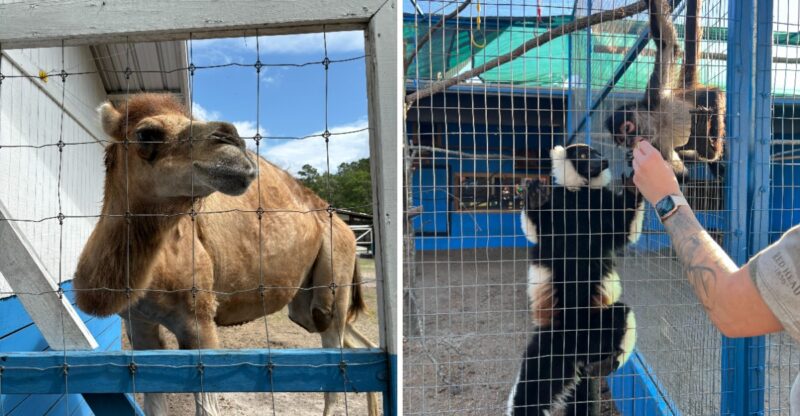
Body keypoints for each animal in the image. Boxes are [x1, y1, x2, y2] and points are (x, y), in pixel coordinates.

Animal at [73, 93, 379, 416]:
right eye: (147, 134)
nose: (232, 142)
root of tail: (347, 229)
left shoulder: (199, 318)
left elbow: (207, 408)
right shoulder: (138, 324)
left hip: (336, 277)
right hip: (307, 304)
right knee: (359, 346)